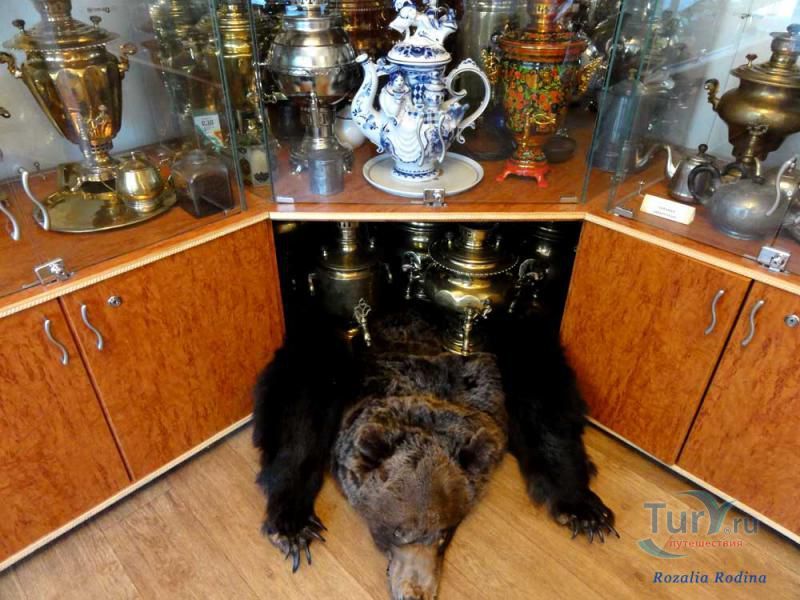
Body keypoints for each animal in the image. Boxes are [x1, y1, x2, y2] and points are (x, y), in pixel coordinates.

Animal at [253, 304, 617, 599]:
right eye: (398, 530)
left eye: (445, 534)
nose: (416, 594)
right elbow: (298, 422)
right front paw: (293, 527)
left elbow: (548, 417)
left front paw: (584, 510)